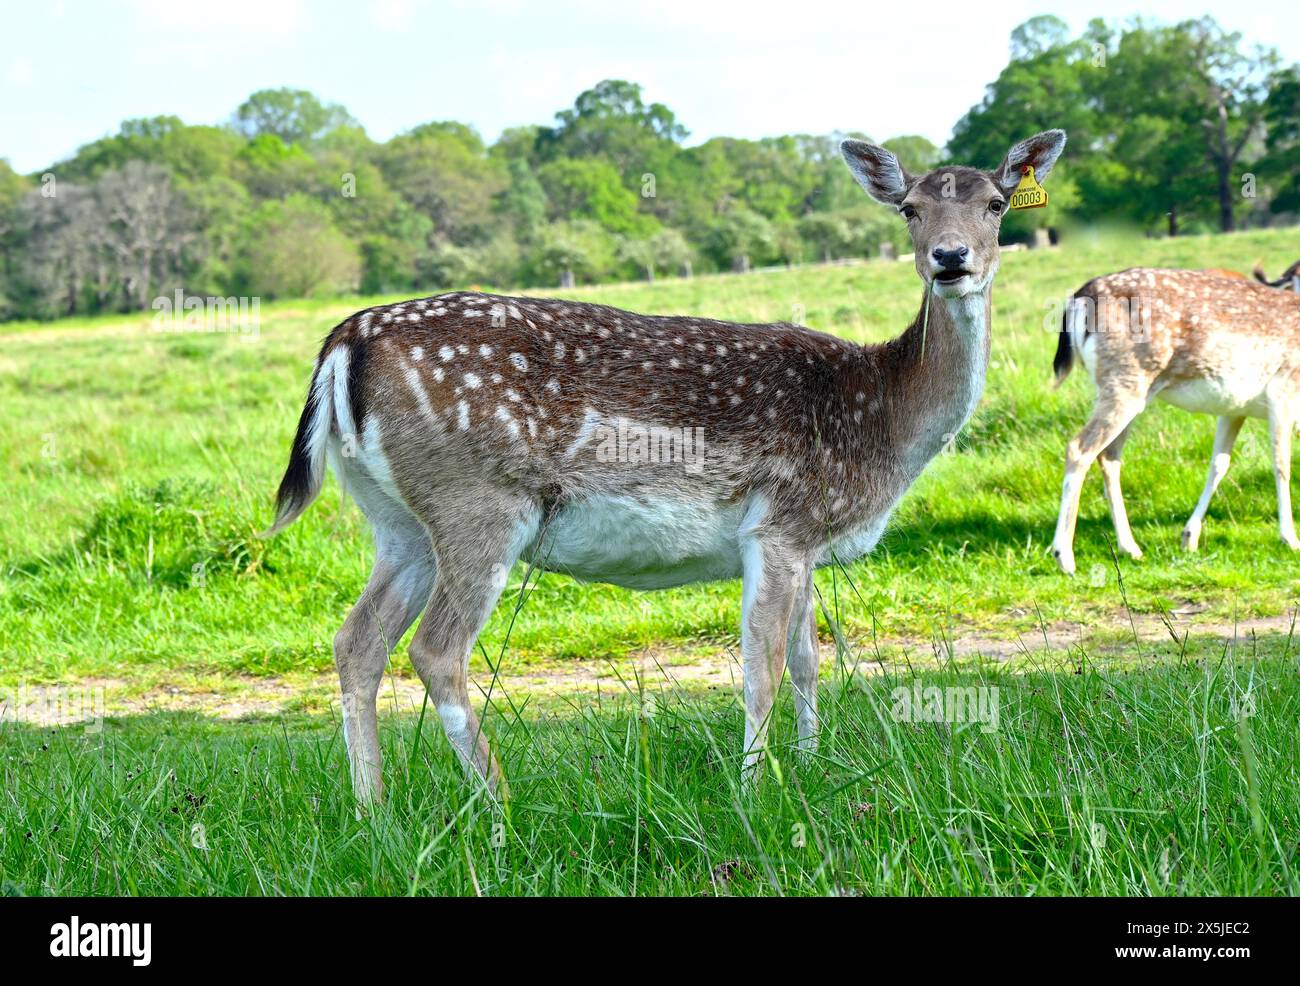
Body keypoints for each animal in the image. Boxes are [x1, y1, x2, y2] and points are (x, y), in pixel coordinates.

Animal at [264, 129, 1068, 801]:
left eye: (996, 204)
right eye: (908, 209)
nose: (951, 259)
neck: (882, 417)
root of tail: (341, 345)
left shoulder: (807, 538)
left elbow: (809, 659)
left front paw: (814, 766)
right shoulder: (780, 523)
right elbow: (762, 666)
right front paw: (756, 790)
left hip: (397, 519)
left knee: (357, 640)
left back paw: (373, 810)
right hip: (479, 502)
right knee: (435, 650)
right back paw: (499, 809)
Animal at [1050, 267, 1300, 576]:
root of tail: (1081, 296)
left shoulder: (1234, 408)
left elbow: (1219, 464)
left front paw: (1189, 537)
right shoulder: (1284, 391)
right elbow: (1282, 465)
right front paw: (1290, 539)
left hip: (1127, 389)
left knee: (1108, 456)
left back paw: (1130, 548)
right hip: (1124, 381)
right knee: (1079, 448)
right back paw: (1065, 557)